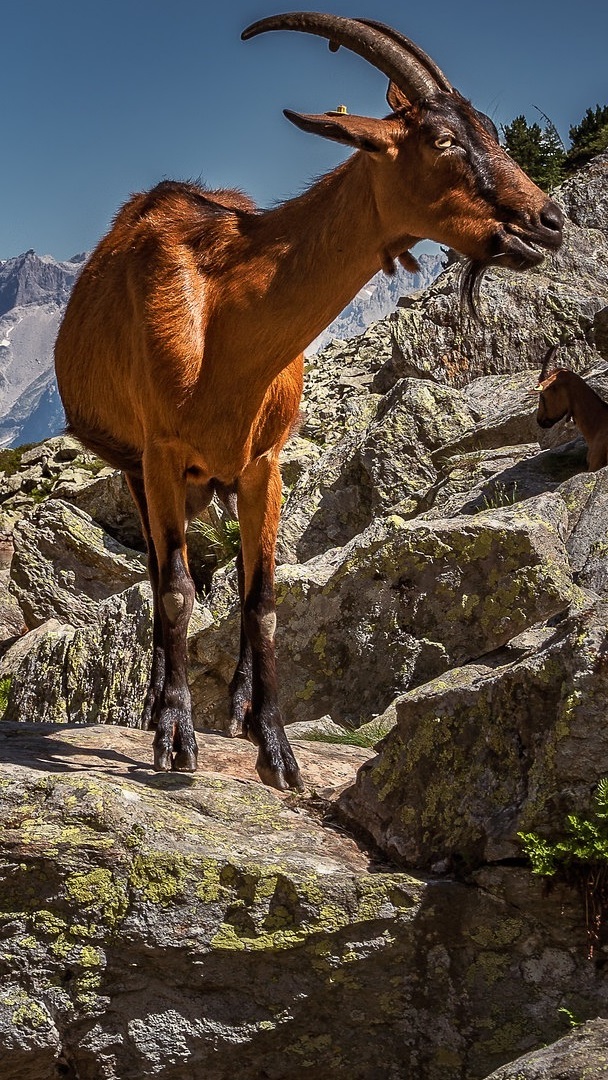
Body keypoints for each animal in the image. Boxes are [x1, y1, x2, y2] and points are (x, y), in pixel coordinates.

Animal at [54, 12, 565, 790]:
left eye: (492, 130)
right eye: (443, 140)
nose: (549, 221)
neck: (223, 320)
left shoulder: (265, 461)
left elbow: (262, 600)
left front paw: (275, 746)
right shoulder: (162, 456)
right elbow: (175, 589)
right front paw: (175, 737)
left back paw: (234, 705)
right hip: (135, 469)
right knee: (158, 572)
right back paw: (157, 705)